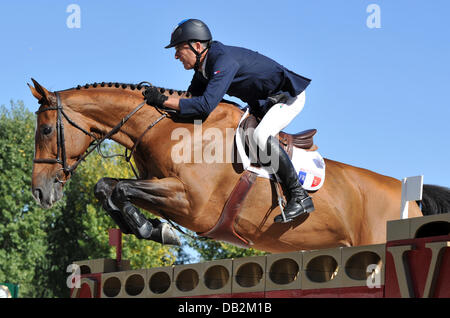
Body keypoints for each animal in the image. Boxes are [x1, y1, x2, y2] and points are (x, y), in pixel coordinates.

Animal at [29, 79, 450, 253]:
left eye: (47, 129)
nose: (40, 192)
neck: (169, 129)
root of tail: (410, 196)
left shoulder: (191, 203)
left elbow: (117, 188)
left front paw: (158, 231)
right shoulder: (160, 186)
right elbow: (107, 187)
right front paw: (154, 229)